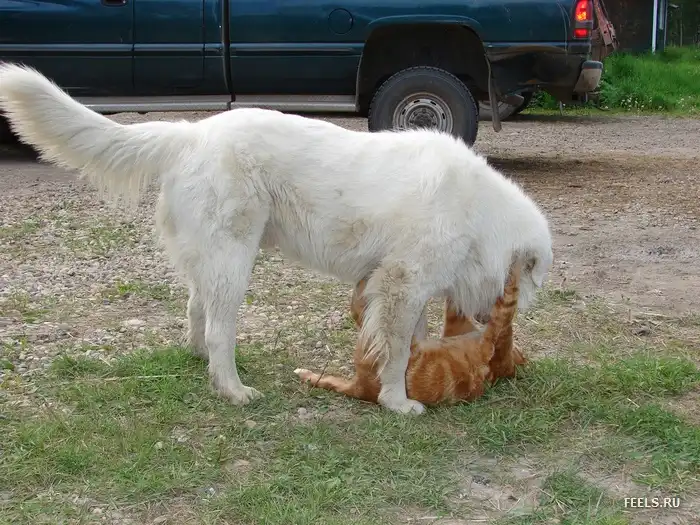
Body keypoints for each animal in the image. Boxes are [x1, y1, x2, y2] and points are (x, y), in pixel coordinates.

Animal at [0, 64, 553, 415]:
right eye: (522, 289)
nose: (502, 323)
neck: (480, 212)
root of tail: (192, 133)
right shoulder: (402, 285)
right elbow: (395, 352)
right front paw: (398, 401)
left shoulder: (395, 288)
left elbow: (403, 340)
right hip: (234, 261)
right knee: (219, 329)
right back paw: (232, 390)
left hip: (212, 259)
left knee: (196, 312)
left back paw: (202, 364)